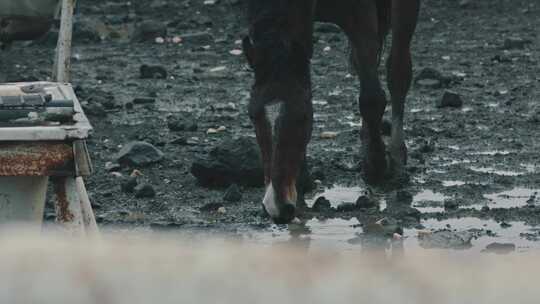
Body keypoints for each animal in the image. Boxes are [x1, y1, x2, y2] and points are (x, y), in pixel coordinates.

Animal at [242, 0, 422, 223]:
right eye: (252, 115)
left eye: (302, 117)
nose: (275, 207)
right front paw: (302, 179)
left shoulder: (360, 15)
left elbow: (372, 97)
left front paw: (377, 166)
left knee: (397, 71)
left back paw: (394, 157)